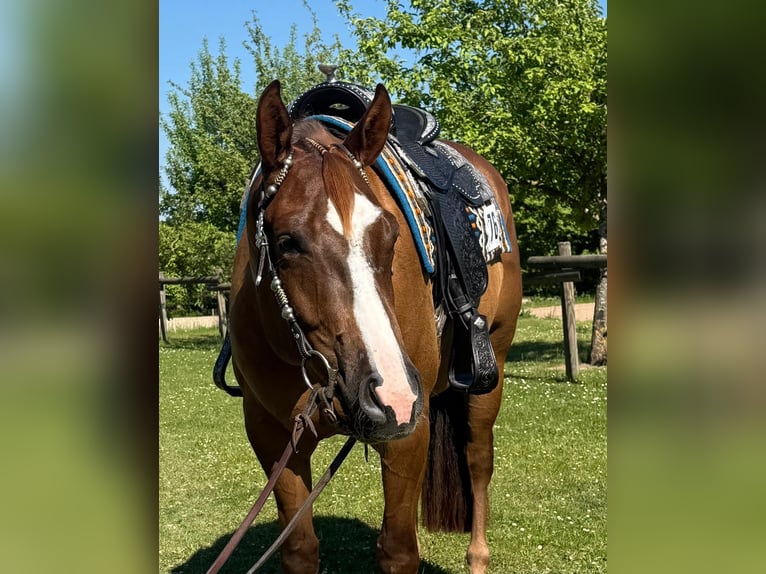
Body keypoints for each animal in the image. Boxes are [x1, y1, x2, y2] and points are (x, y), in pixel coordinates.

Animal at [228, 80, 522, 574]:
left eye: (391, 235)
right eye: (286, 242)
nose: (390, 394)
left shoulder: (409, 433)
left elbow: (399, 549)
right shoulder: (273, 439)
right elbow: (300, 548)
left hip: (489, 371)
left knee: (479, 461)